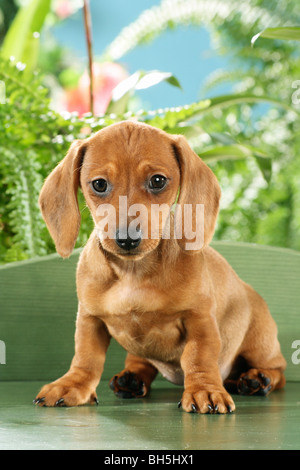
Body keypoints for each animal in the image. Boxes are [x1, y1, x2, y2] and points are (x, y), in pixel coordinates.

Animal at [34, 122, 286, 414]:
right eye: (99, 184)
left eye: (157, 180)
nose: (127, 239)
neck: (132, 273)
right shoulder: (89, 319)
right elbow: (86, 357)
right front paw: (72, 384)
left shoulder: (199, 319)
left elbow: (199, 357)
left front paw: (204, 390)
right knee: (139, 361)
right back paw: (132, 379)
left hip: (260, 346)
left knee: (278, 371)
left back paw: (254, 380)